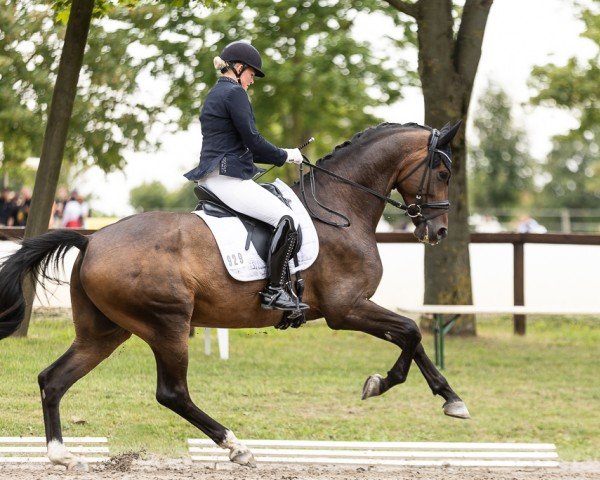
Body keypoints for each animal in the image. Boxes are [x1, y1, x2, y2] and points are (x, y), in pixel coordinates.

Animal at [0, 120, 468, 468]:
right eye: (443, 173)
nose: (439, 232)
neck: (342, 208)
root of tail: (92, 239)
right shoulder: (346, 308)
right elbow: (410, 331)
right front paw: (383, 384)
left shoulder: (353, 308)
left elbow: (411, 336)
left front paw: (451, 399)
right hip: (167, 324)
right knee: (172, 393)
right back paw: (236, 446)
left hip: (106, 331)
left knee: (53, 379)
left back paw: (62, 455)